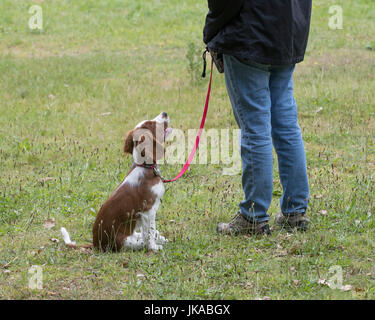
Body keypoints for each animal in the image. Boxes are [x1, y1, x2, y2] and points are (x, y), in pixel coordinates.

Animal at [61, 112, 173, 252]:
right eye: (152, 123)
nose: (165, 113)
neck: (145, 167)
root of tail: (95, 244)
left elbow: (147, 231)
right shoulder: (148, 210)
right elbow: (149, 232)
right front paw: (153, 247)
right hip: (125, 242)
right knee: (140, 241)